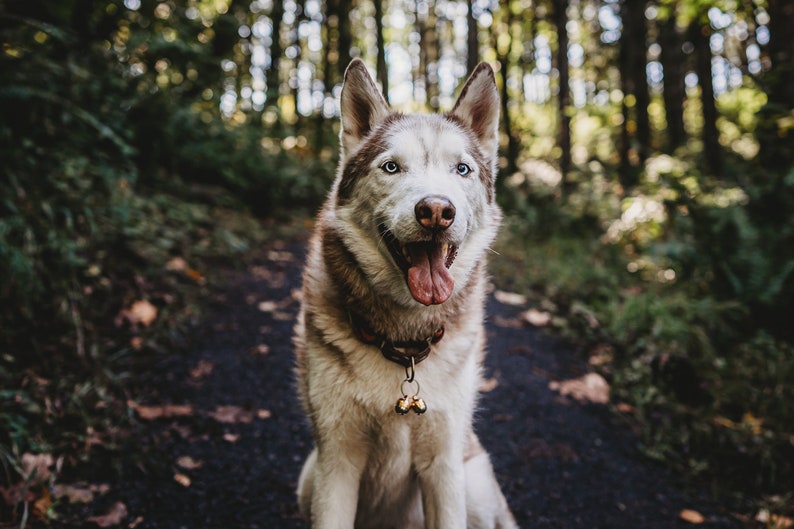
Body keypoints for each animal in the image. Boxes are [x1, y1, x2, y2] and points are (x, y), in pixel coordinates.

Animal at [294, 58, 516, 528]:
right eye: (392, 167)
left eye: (462, 169)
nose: (436, 211)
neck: (404, 342)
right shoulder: (335, 462)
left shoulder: (445, 465)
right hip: (308, 478)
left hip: (475, 483)